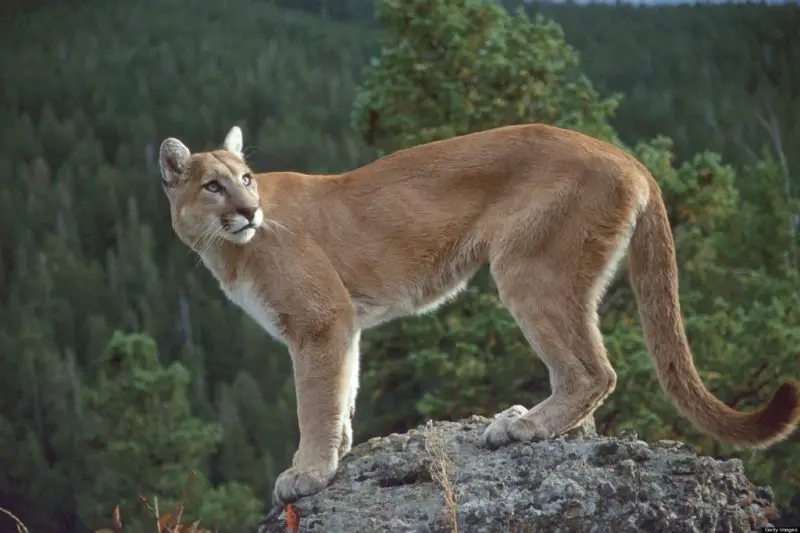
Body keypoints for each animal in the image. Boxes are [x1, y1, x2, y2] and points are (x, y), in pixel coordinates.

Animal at [158, 123, 799, 506]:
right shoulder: (342, 326)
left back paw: (524, 426)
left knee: (593, 372)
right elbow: (343, 391)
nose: (249, 210)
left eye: (245, 179)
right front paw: (337, 453)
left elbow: (314, 401)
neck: (226, 249)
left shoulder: (319, 320)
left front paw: (309, 472)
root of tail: (621, 153)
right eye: (214, 185)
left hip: (527, 268)